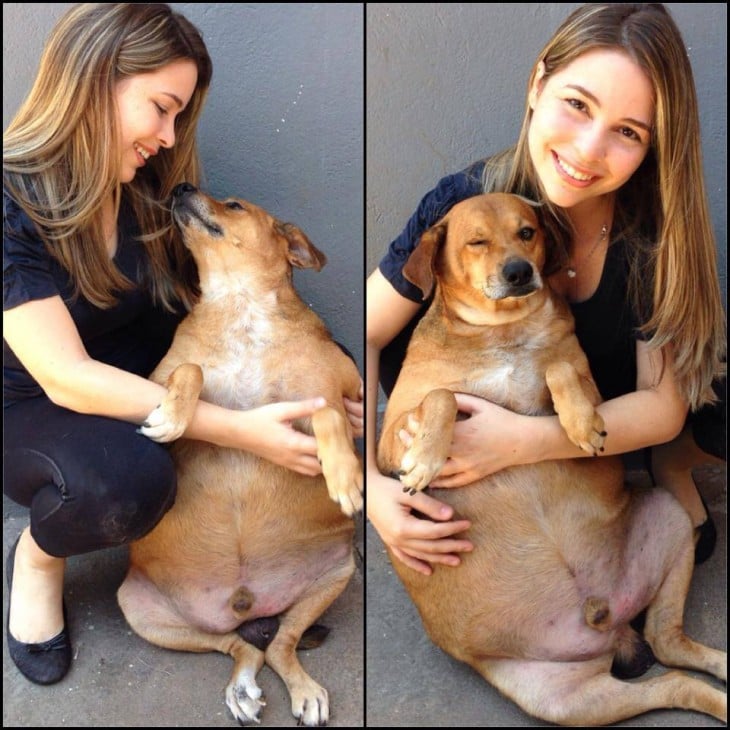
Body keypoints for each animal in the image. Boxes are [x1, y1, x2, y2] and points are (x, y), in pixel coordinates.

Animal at [117, 183, 364, 724]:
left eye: (234, 206)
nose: (181, 188)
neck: (240, 306)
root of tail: (246, 603)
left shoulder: (329, 398)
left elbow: (329, 416)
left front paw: (345, 475)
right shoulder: (160, 387)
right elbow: (191, 370)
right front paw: (171, 416)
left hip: (339, 569)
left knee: (280, 647)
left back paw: (304, 691)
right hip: (142, 611)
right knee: (241, 649)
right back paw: (242, 687)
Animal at [376, 192, 724, 724]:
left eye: (527, 232)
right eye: (476, 241)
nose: (519, 271)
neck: (506, 331)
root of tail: (608, 621)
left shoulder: (592, 390)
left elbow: (558, 367)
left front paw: (579, 422)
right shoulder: (389, 436)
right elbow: (442, 394)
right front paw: (426, 459)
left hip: (669, 517)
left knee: (671, 646)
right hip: (565, 700)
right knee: (674, 674)